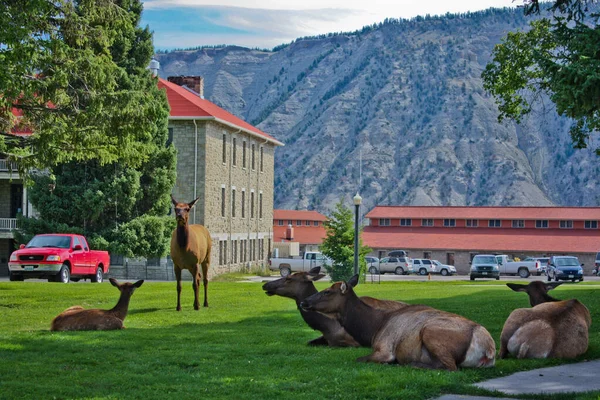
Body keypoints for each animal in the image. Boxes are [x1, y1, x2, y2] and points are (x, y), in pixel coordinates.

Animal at [300, 276, 496, 372]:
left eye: (327, 292)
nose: (304, 302)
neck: (372, 328)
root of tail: (488, 349)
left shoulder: (384, 349)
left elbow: (360, 359)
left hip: (430, 332)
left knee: (450, 367)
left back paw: (413, 364)